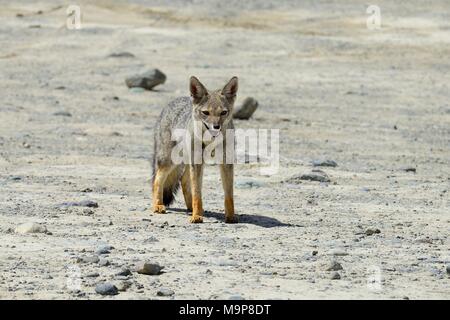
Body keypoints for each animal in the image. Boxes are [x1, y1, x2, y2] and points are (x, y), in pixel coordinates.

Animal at [150, 76, 239, 224]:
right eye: (206, 113)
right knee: (157, 180)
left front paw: (231, 216)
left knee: (184, 181)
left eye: (223, 113)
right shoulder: (197, 163)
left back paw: (191, 208)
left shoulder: (226, 163)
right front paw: (197, 216)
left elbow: (229, 194)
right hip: (171, 161)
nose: (216, 127)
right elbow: (197, 193)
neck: (210, 142)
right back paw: (158, 205)